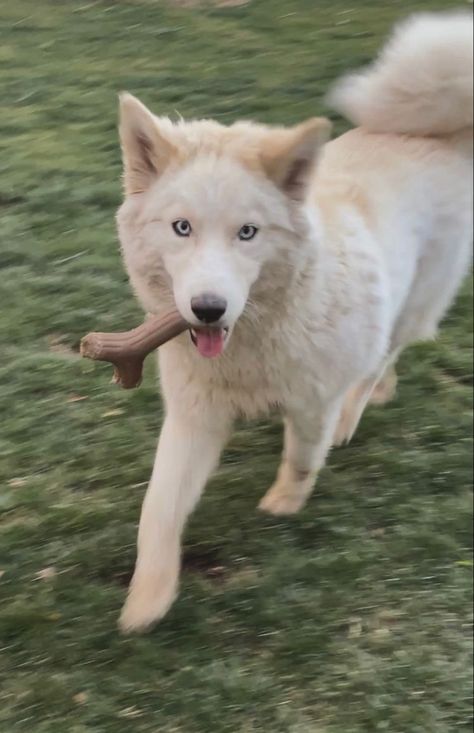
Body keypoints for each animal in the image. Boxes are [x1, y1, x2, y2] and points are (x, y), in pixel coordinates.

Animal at [114, 11, 470, 628]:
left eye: (247, 233)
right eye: (182, 228)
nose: (208, 308)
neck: (252, 342)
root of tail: (434, 131)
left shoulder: (312, 402)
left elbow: (304, 455)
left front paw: (285, 502)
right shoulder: (194, 417)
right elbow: (158, 506)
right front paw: (148, 598)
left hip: (408, 304)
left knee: (381, 358)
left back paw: (358, 409)